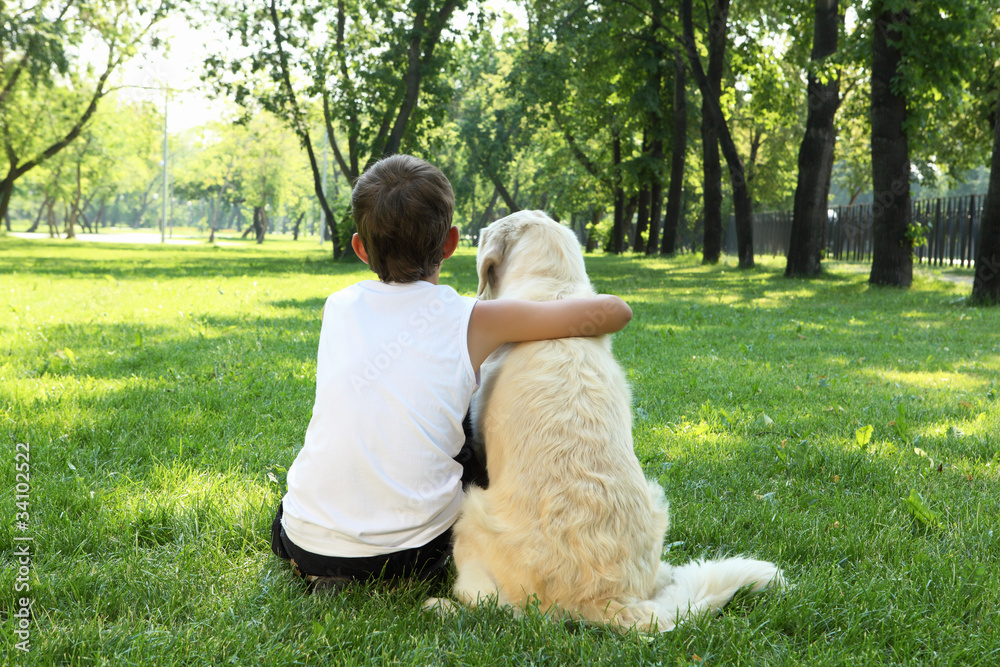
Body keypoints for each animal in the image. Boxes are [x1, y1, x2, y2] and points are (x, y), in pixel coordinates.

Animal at [426, 213, 784, 632]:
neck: (554, 293)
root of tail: (609, 599)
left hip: (470, 514)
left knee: (490, 605)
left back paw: (441, 605)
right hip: (657, 504)